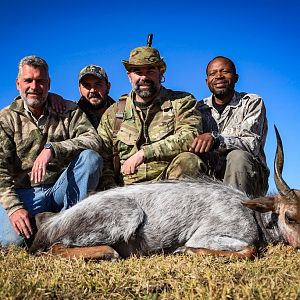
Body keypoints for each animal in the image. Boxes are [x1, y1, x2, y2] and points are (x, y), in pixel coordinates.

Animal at [28, 125, 300, 258]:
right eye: (290, 217)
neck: (252, 214)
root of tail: (51, 224)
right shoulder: (206, 236)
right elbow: (251, 249)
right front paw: (183, 251)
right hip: (127, 216)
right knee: (57, 248)